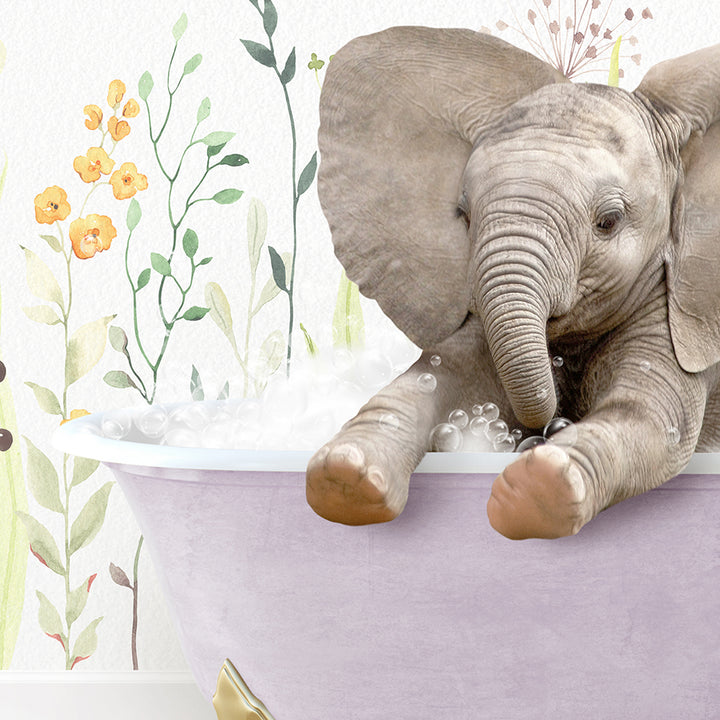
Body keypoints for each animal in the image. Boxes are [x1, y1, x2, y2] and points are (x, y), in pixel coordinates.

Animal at [306, 26, 720, 540]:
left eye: (608, 222)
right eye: (463, 216)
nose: (545, 430)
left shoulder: (685, 311)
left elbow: (651, 420)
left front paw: (537, 489)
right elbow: (436, 378)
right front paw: (344, 476)